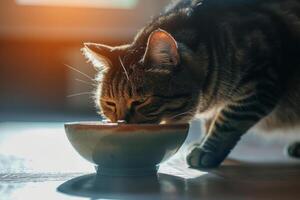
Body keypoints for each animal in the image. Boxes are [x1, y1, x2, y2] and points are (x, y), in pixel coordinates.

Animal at [82, 0, 300, 169]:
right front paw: (202, 142)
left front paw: (207, 150)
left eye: (140, 101)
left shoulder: (262, 79)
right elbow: (211, 121)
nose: (121, 123)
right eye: (110, 103)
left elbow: (227, 120)